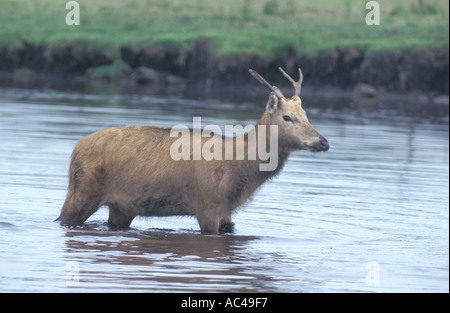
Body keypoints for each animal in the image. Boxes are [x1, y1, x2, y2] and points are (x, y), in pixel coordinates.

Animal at [58, 68, 328, 234]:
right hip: (82, 191)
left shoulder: (226, 213)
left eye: (306, 114)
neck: (240, 173)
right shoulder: (207, 205)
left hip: (122, 207)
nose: (323, 142)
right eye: (287, 117)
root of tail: (75, 148)